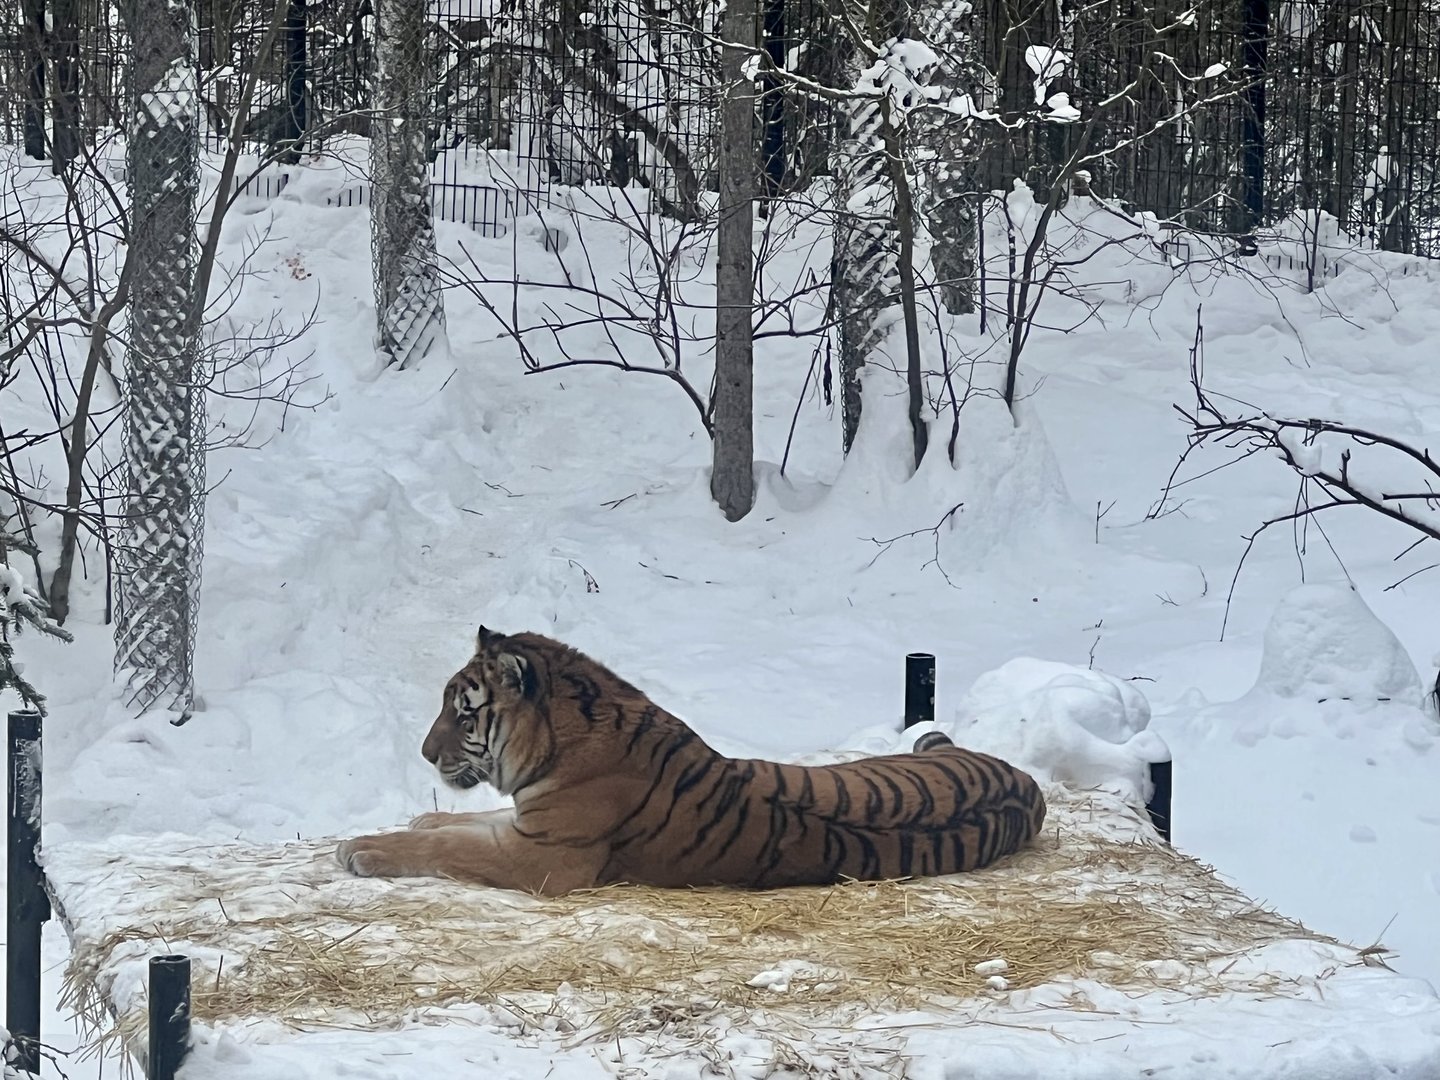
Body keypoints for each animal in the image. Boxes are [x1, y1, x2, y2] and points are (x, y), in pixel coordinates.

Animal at [337, 626, 1047, 895]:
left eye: (463, 714)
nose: (425, 754)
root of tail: (1025, 782)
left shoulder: (543, 856)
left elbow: (448, 849)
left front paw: (362, 849)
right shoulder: (522, 825)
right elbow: (454, 827)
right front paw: (414, 821)